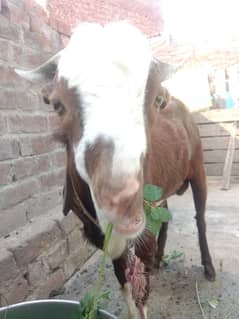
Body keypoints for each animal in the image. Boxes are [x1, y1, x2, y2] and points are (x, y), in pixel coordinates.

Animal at [15, 21, 216, 318]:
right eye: (56, 104)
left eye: (157, 100)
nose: (122, 205)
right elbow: (125, 286)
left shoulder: (140, 236)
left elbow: (140, 295)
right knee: (166, 214)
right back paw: (160, 258)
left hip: (198, 166)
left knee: (200, 217)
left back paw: (208, 267)